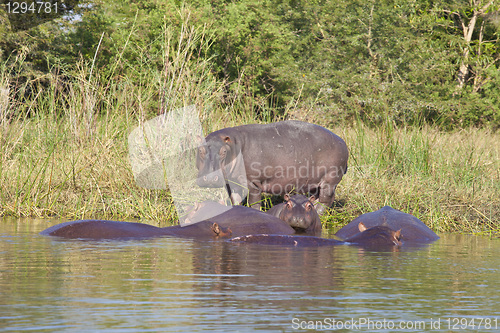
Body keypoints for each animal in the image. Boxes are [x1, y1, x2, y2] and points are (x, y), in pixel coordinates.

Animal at [195, 120, 348, 214]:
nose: (209, 178)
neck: (235, 146)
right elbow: (235, 200)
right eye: (200, 150)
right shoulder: (232, 183)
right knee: (316, 197)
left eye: (223, 152)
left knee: (326, 199)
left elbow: (254, 203)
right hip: (314, 183)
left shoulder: (253, 182)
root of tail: (343, 142)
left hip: (330, 179)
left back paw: (320, 213)